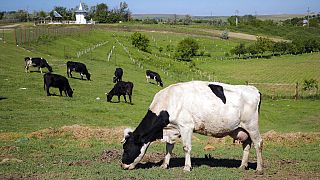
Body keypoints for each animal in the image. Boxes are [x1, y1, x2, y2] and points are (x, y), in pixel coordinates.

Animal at [121, 81, 264, 174]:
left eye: (126, 149)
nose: (122, 165)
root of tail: (254, 89)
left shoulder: (186, 126)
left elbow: (186, 147)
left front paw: (187, 167)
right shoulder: (172, 129)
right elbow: (169, 147)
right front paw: (164, 165)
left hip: (251, 125)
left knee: (258, 143)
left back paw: (259, 168)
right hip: (242, 129)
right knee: (246, 145)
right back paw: (242, 166)